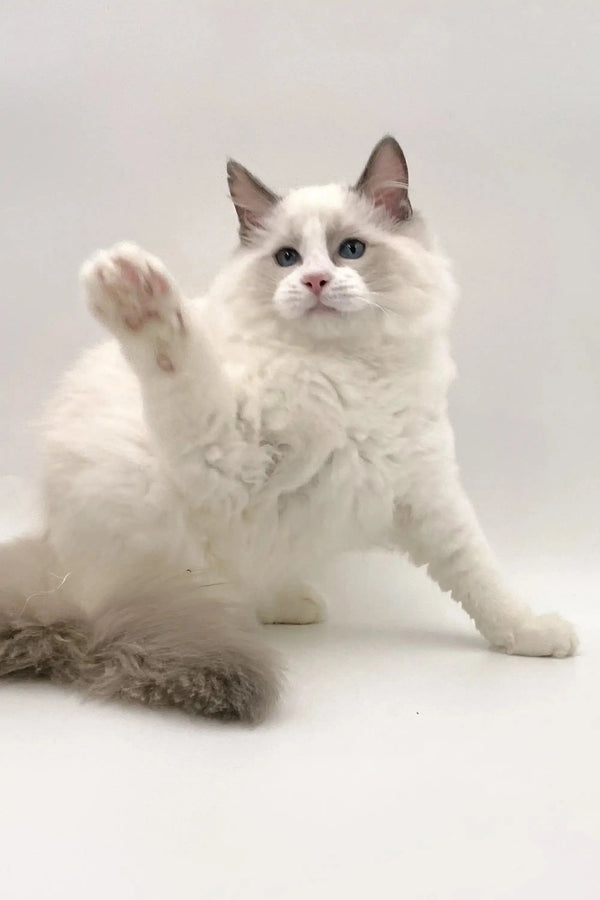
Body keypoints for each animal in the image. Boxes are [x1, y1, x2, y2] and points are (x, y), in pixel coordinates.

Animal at [0, 135, 580, 724]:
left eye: (351, 249)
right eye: (287, 258)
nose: (315, 281)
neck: (343, 376)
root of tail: (56, 564)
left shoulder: (428, 492)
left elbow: (480, 576)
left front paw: (529, 634)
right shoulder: (224, 461)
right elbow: (181, 366)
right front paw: (136, 298)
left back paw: (291, 604)